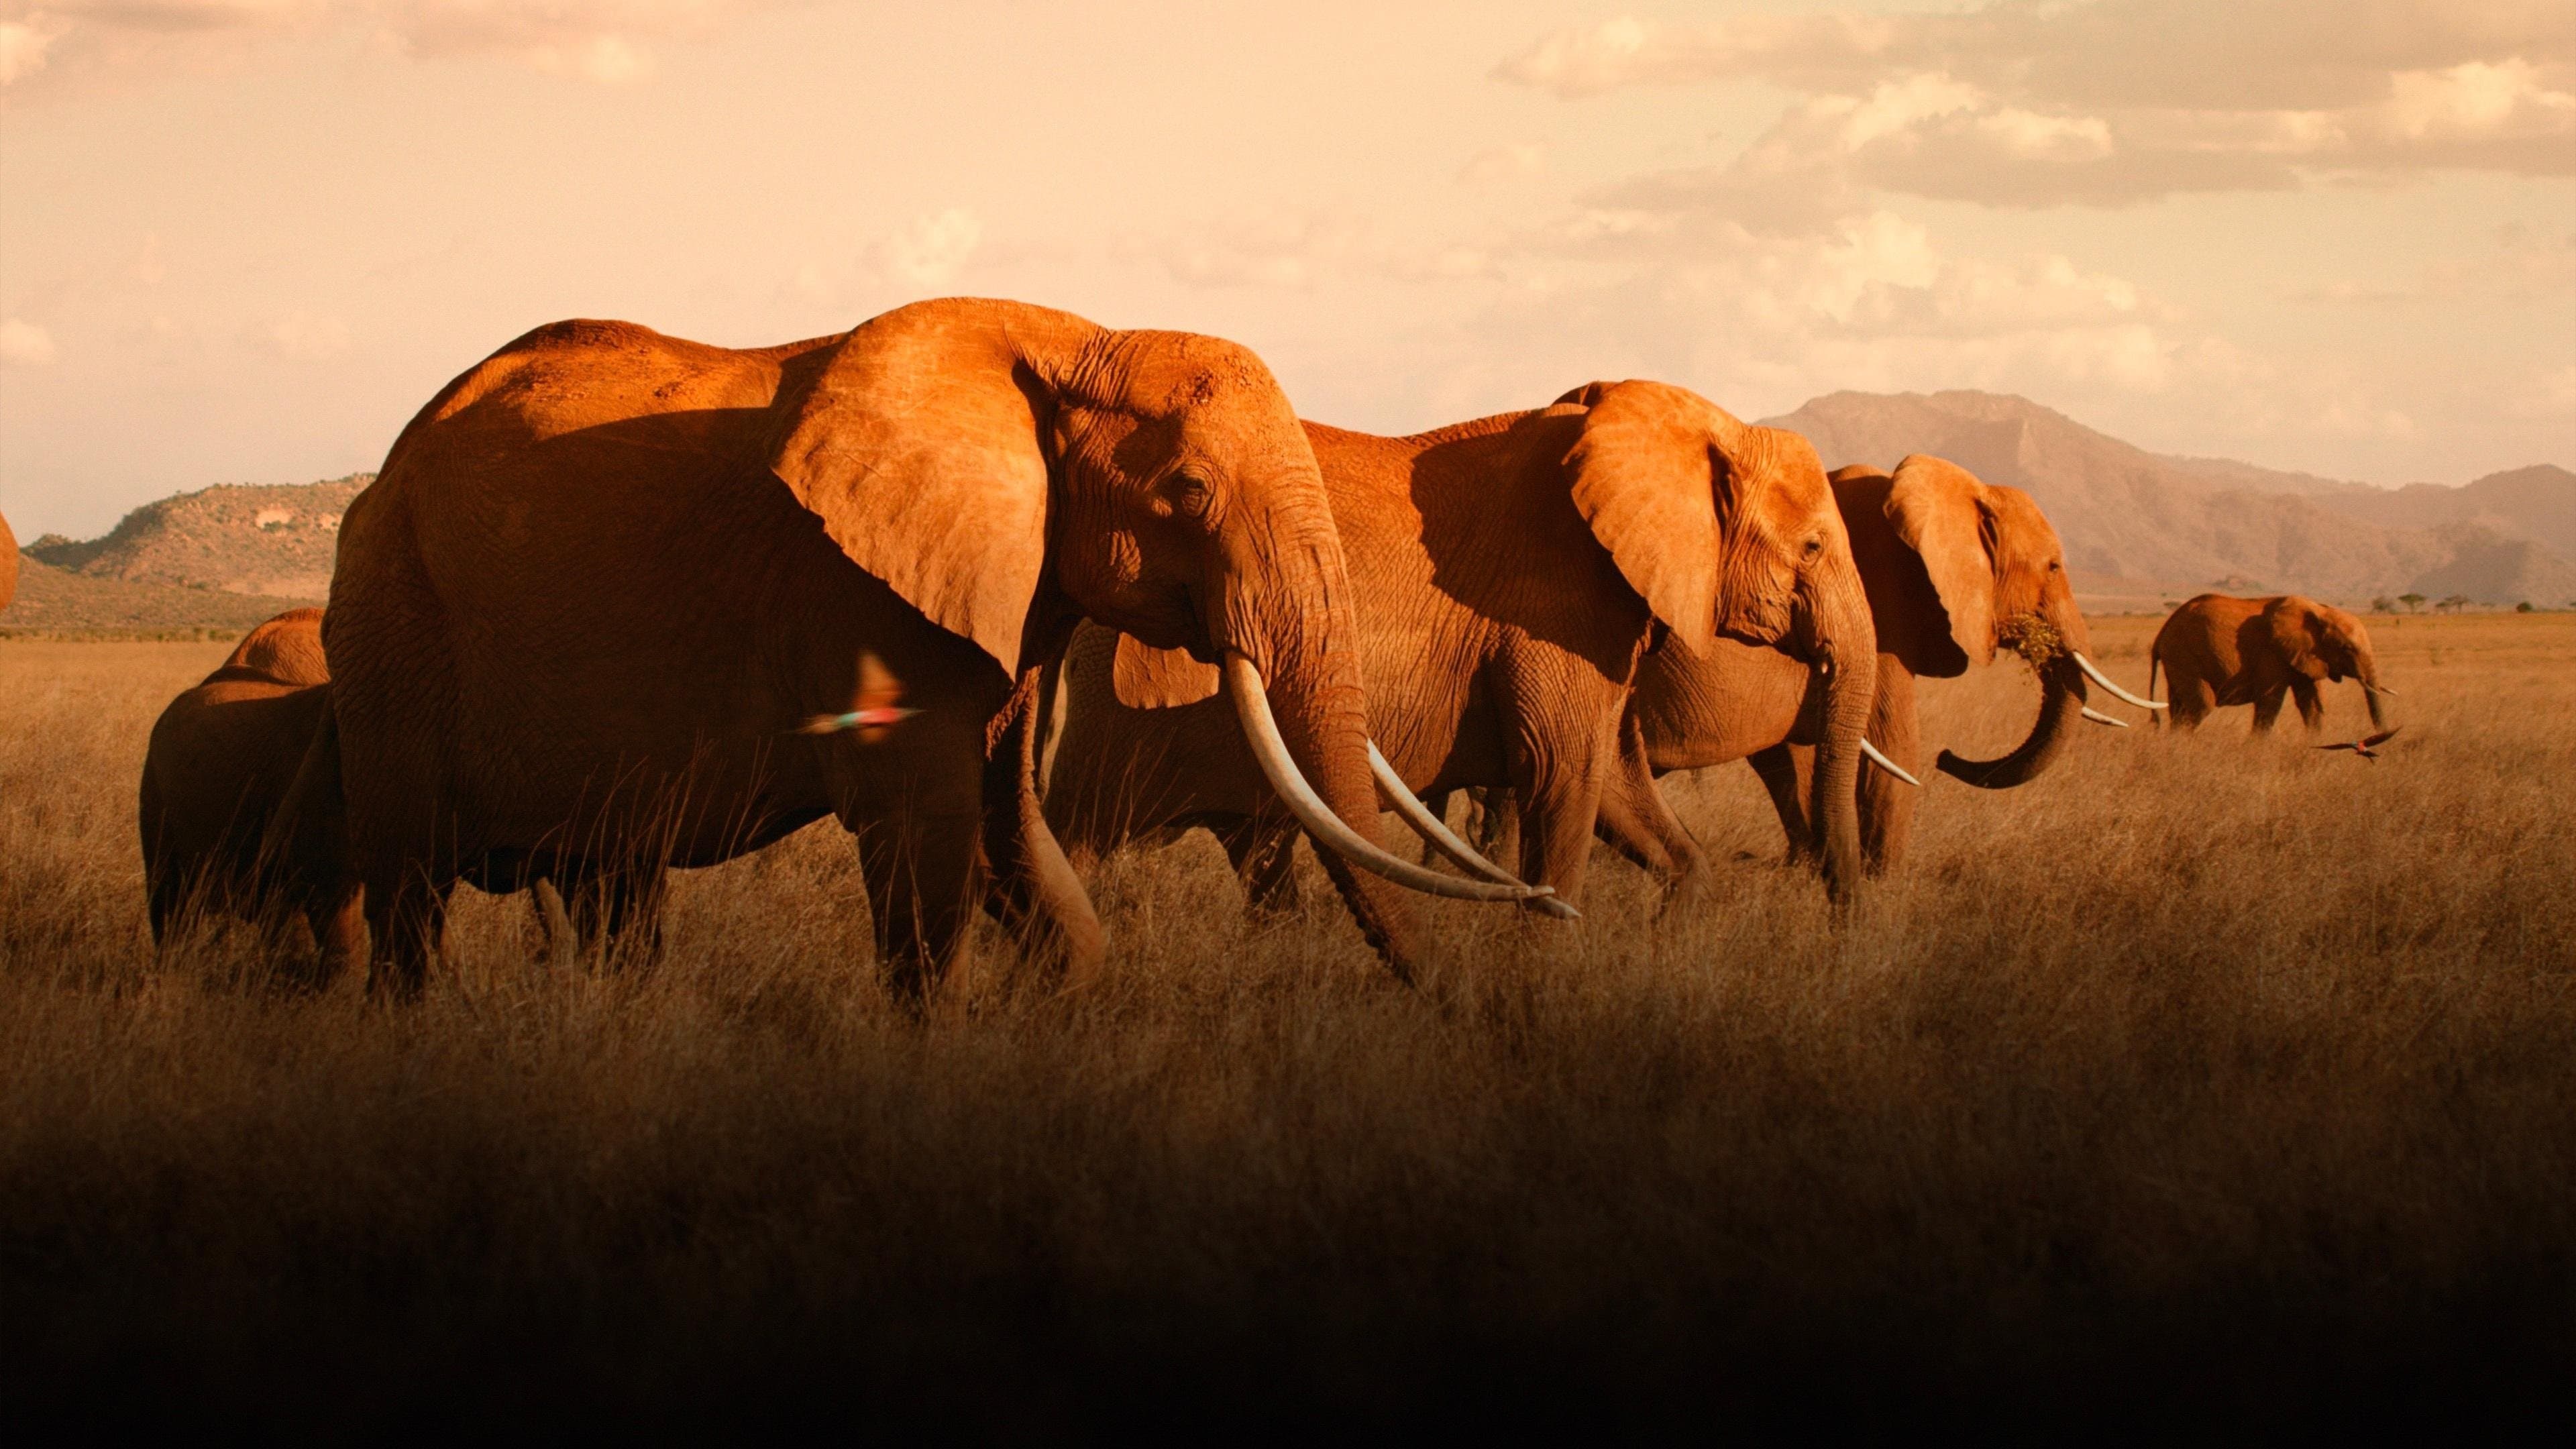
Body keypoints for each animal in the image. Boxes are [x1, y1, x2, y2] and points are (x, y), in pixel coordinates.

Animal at [303, 298, 1538, 999]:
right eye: (1188, 491)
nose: (1453, 1008)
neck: (1067, 342)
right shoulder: (859, 596)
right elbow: (930, 836)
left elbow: (1011, 833)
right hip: (389, 632)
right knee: (409, 893)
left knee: (612, 884)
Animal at [1036, 379, 1879, 919]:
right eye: (1811, 548)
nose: (1844, 919)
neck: (1690, 427)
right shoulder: (1552, 610)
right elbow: (1566, 780)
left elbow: (1618, 792)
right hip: (1114, 719)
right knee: (1077, 835)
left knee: (1262, 860)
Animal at [2149, 593, 2391, 735]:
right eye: (2346, 648)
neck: (2320, 611)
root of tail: (2163, 630)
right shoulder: (2271, 653)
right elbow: (2270, 701)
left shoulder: (2304, 655)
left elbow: (2311, 703)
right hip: (2184, 654)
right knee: (2201, 706)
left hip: (2177, 658)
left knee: (2178, 707)